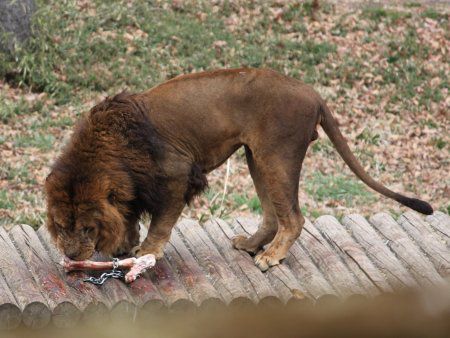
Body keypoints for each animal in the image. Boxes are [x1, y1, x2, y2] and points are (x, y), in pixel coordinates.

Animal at [45, 67, 432, 270]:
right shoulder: (133, 189)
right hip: (256, 157)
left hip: (277, 155)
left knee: (294, 218)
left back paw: (271, 257)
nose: (70, 256)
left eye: (87, 228)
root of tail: (314, 94)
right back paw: (251, 245)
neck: (107, 150)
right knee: (274, 215)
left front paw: (147, 253)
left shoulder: (178, 174)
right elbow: (128, 218)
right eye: (61, 226)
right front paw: (124, 245)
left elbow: (160, 222)